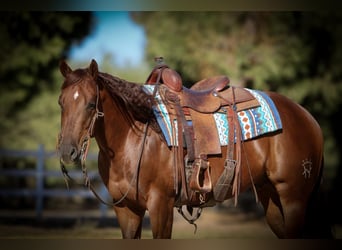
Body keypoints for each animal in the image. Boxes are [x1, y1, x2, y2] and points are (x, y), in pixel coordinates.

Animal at [57, 59, 330, 238]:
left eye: (91, 104)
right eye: (61, 103)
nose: (67, 151)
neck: (133, 139)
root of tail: (308, 117)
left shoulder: (161, 205)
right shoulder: (126, 209)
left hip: (293, 198)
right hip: (270, 197)